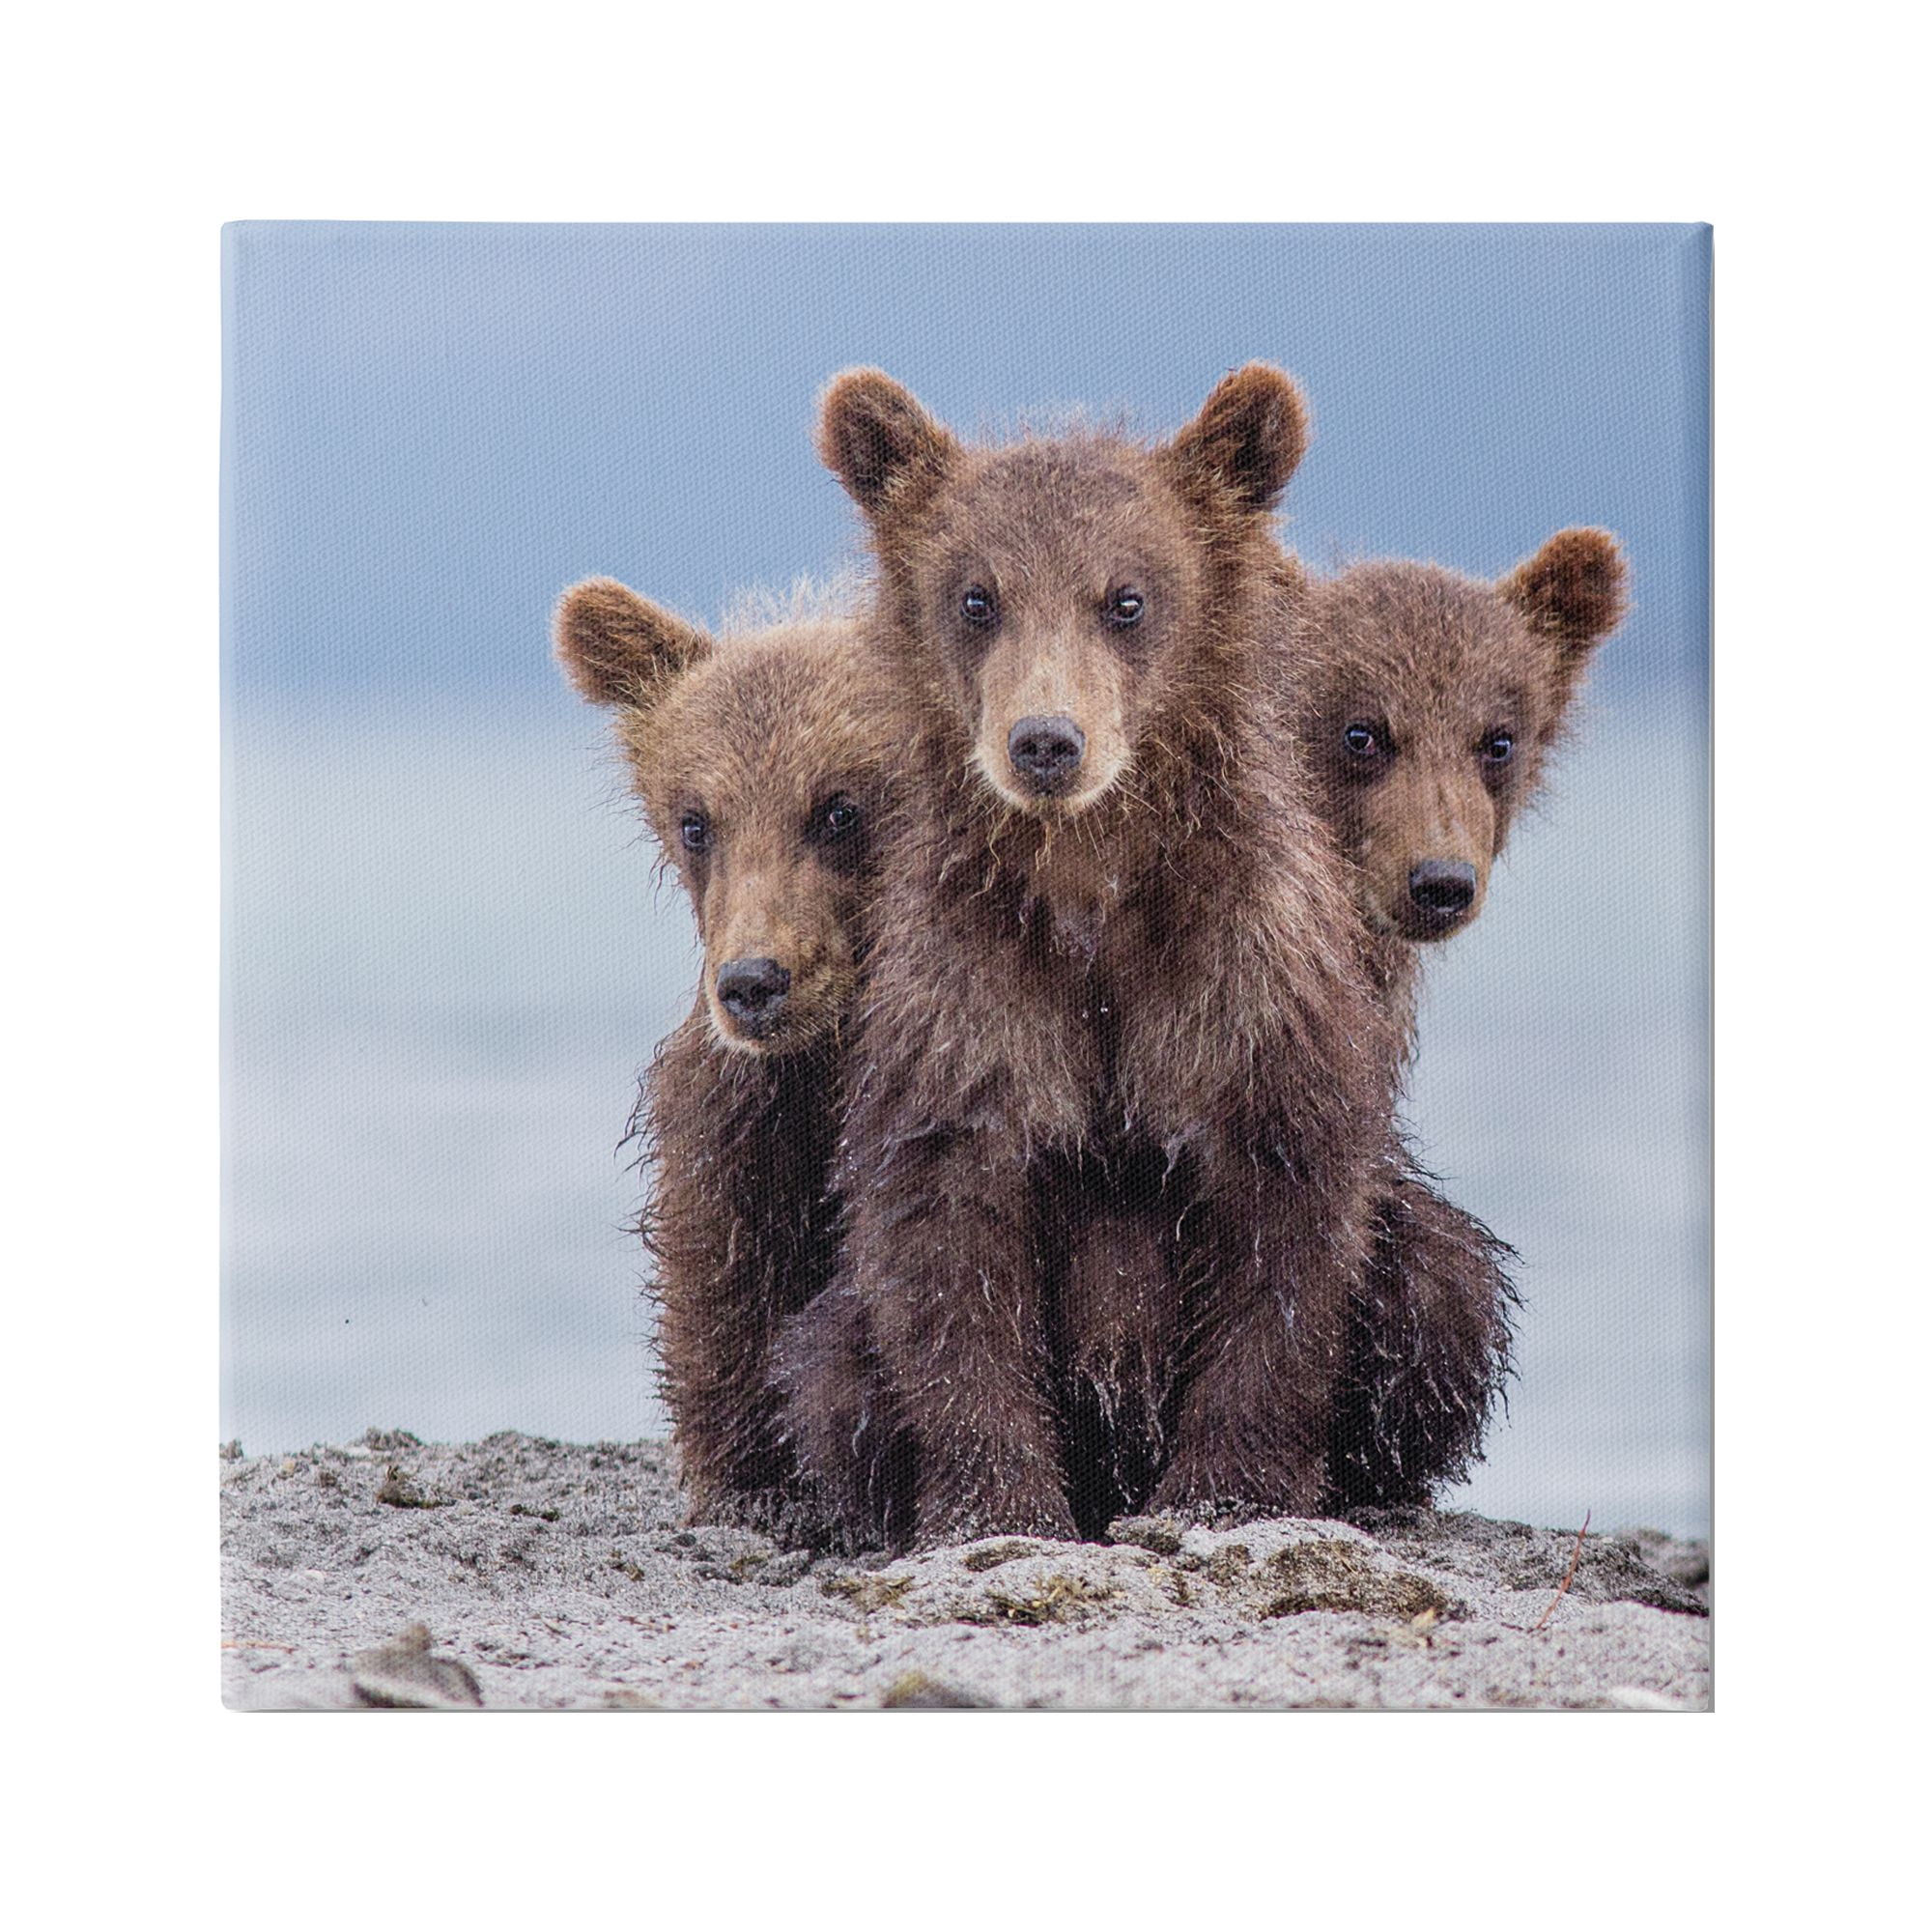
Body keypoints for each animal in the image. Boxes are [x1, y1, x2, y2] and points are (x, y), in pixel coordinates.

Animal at [553, 577, 910, 1540]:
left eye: (839, 807)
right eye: (695, 821)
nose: (754, 982)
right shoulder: (751, 1105)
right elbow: (724, 1253)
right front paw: (753, 1482)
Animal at [809, 362, 1406, 1545]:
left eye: (1125, 597)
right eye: (977, 597)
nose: (1046, 741)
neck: (1091, 886)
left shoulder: (1241, 976)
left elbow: (1283, 1223)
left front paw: (1226, 1491)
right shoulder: (971, 987)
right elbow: (946, 1237)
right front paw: (995, 1504)